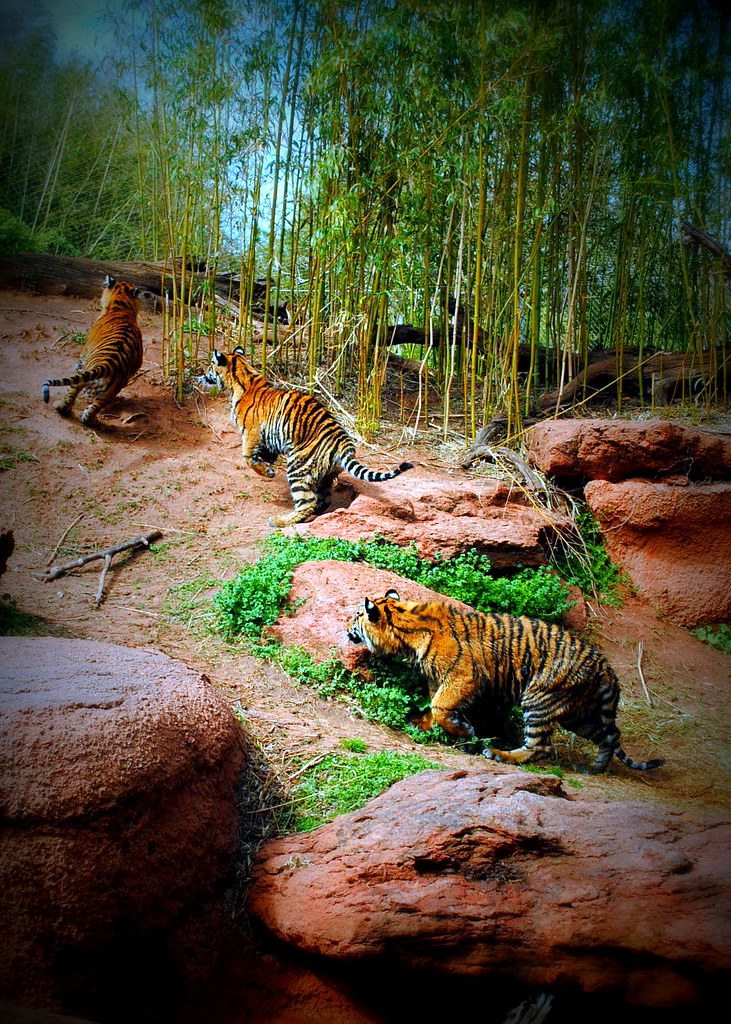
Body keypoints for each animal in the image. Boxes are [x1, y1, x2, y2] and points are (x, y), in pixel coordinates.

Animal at [42, 275, 143, 426]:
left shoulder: (84, 352)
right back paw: (92, 420)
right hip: (110, 391)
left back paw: (59, 406)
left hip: (82, 376)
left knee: (71, 393)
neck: (120, 307)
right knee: (92, 411)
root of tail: (108, 363)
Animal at [199, 347, 413, 527]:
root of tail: (343, 442)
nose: (201, 375)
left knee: (306, 503)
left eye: (210, 365)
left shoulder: (252, 432)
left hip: (298, 466)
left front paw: (266, 471)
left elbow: (247, 457)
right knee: (322, 500)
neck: (243, 374)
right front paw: (268, 465)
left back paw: (280, 521)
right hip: (325, 475)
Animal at [347, 590, 665, 774]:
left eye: (357, 616)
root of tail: (604, 665)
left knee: (541, 747)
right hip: (579, 713)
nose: (346, 627)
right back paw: (594, 767)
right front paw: (421, 724)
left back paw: (499, 754)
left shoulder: (463, 676)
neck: (407, 629)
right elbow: (434, 706)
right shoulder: (438, 677)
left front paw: (464, 730)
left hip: (539, 699)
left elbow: (440, 707)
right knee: (609, 736)